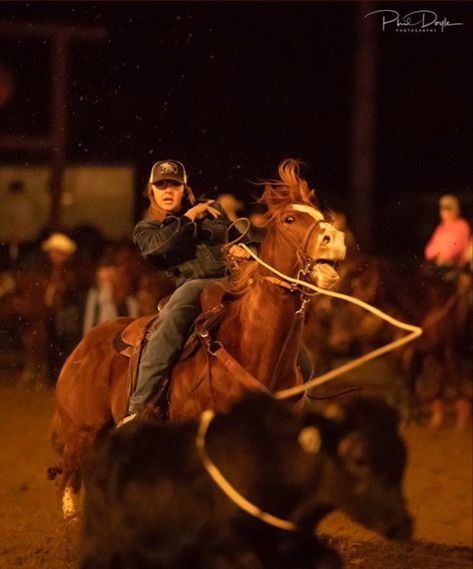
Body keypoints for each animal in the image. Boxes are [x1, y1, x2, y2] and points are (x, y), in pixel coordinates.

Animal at [50, 160, 346, 516]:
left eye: (322, 216)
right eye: (290, 219)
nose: (336, 239)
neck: (250, 347)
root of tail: (82, 348)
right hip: (81, 434)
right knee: (69, 488)